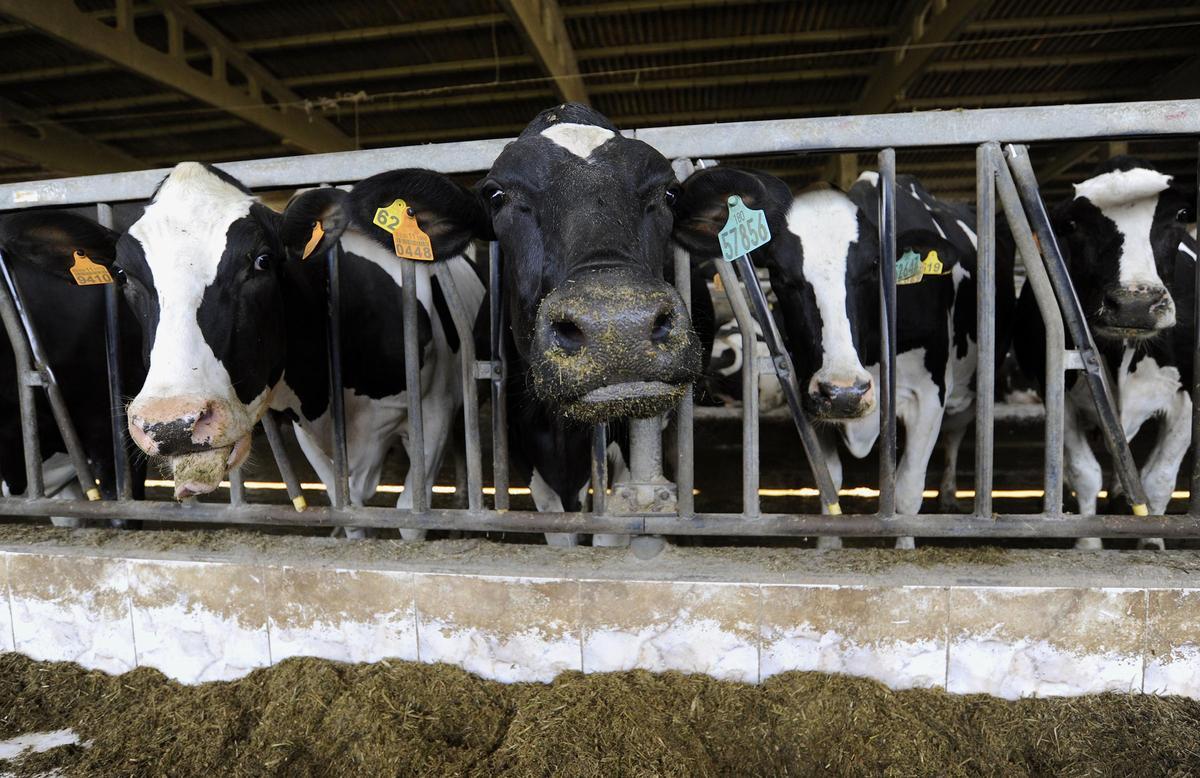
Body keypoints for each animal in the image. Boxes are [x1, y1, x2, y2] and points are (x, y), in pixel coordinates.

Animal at [676, 165, 1012, 540]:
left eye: (874, 266)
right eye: (779, 274)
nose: (845, 392)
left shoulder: (929, 395)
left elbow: (907, 493)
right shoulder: (809, 393)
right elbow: (830, 483)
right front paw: (828, 543)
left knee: (956, 434)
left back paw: (951, 495)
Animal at [1012, 158, 1200, 547]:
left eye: (1180, 214)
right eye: (1072, 224)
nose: (1134, 304)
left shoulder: (1187, 397)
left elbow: (1159, 479)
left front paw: (1152, 542)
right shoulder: (1060, 395)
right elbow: (1085, 473)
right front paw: (1088, 542)